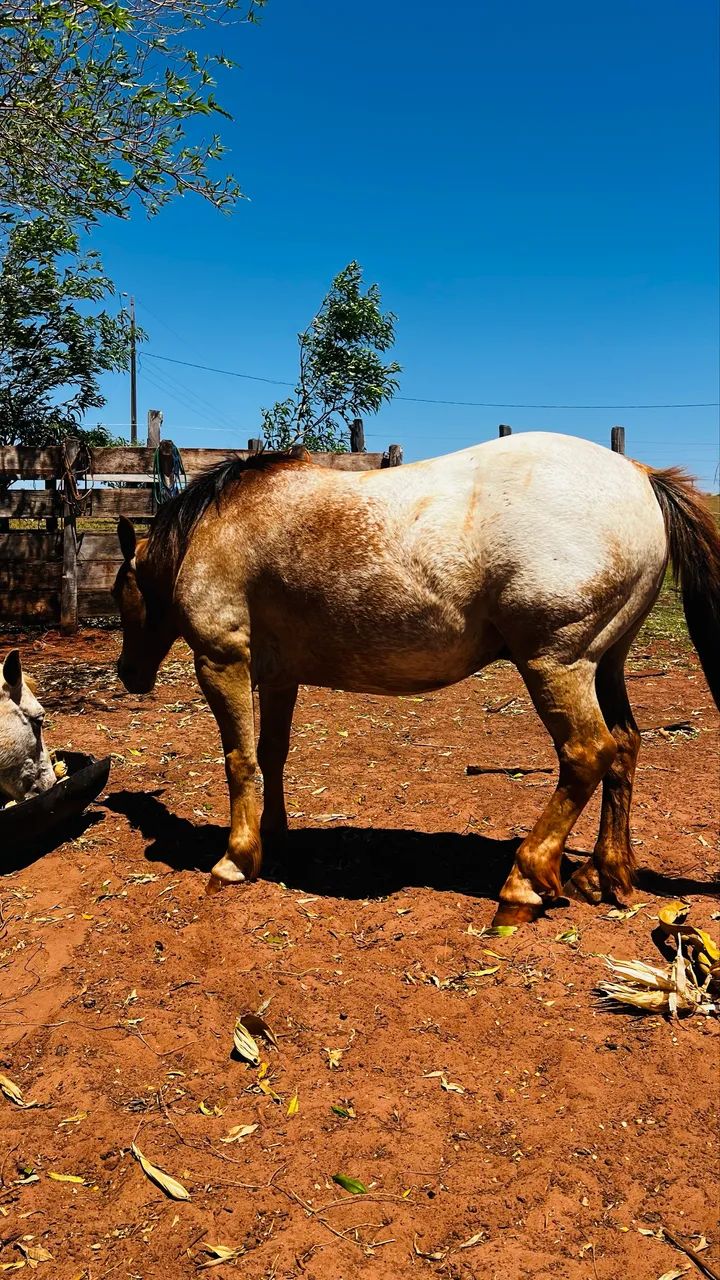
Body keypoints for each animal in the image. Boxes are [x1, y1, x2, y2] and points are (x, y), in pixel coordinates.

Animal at [113, 432, 720, 925]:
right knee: (624, 747)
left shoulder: (222, 661)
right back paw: (605, 873)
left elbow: (239, 760)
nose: (128, 674)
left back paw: (523, 883)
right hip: (606, 664)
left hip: (557, 665)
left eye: (124, 593)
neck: (221, 525)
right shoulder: (281, 677)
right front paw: (274, 835)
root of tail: (639, 475)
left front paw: (236, 859)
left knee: (588, 753)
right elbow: (272, 754)